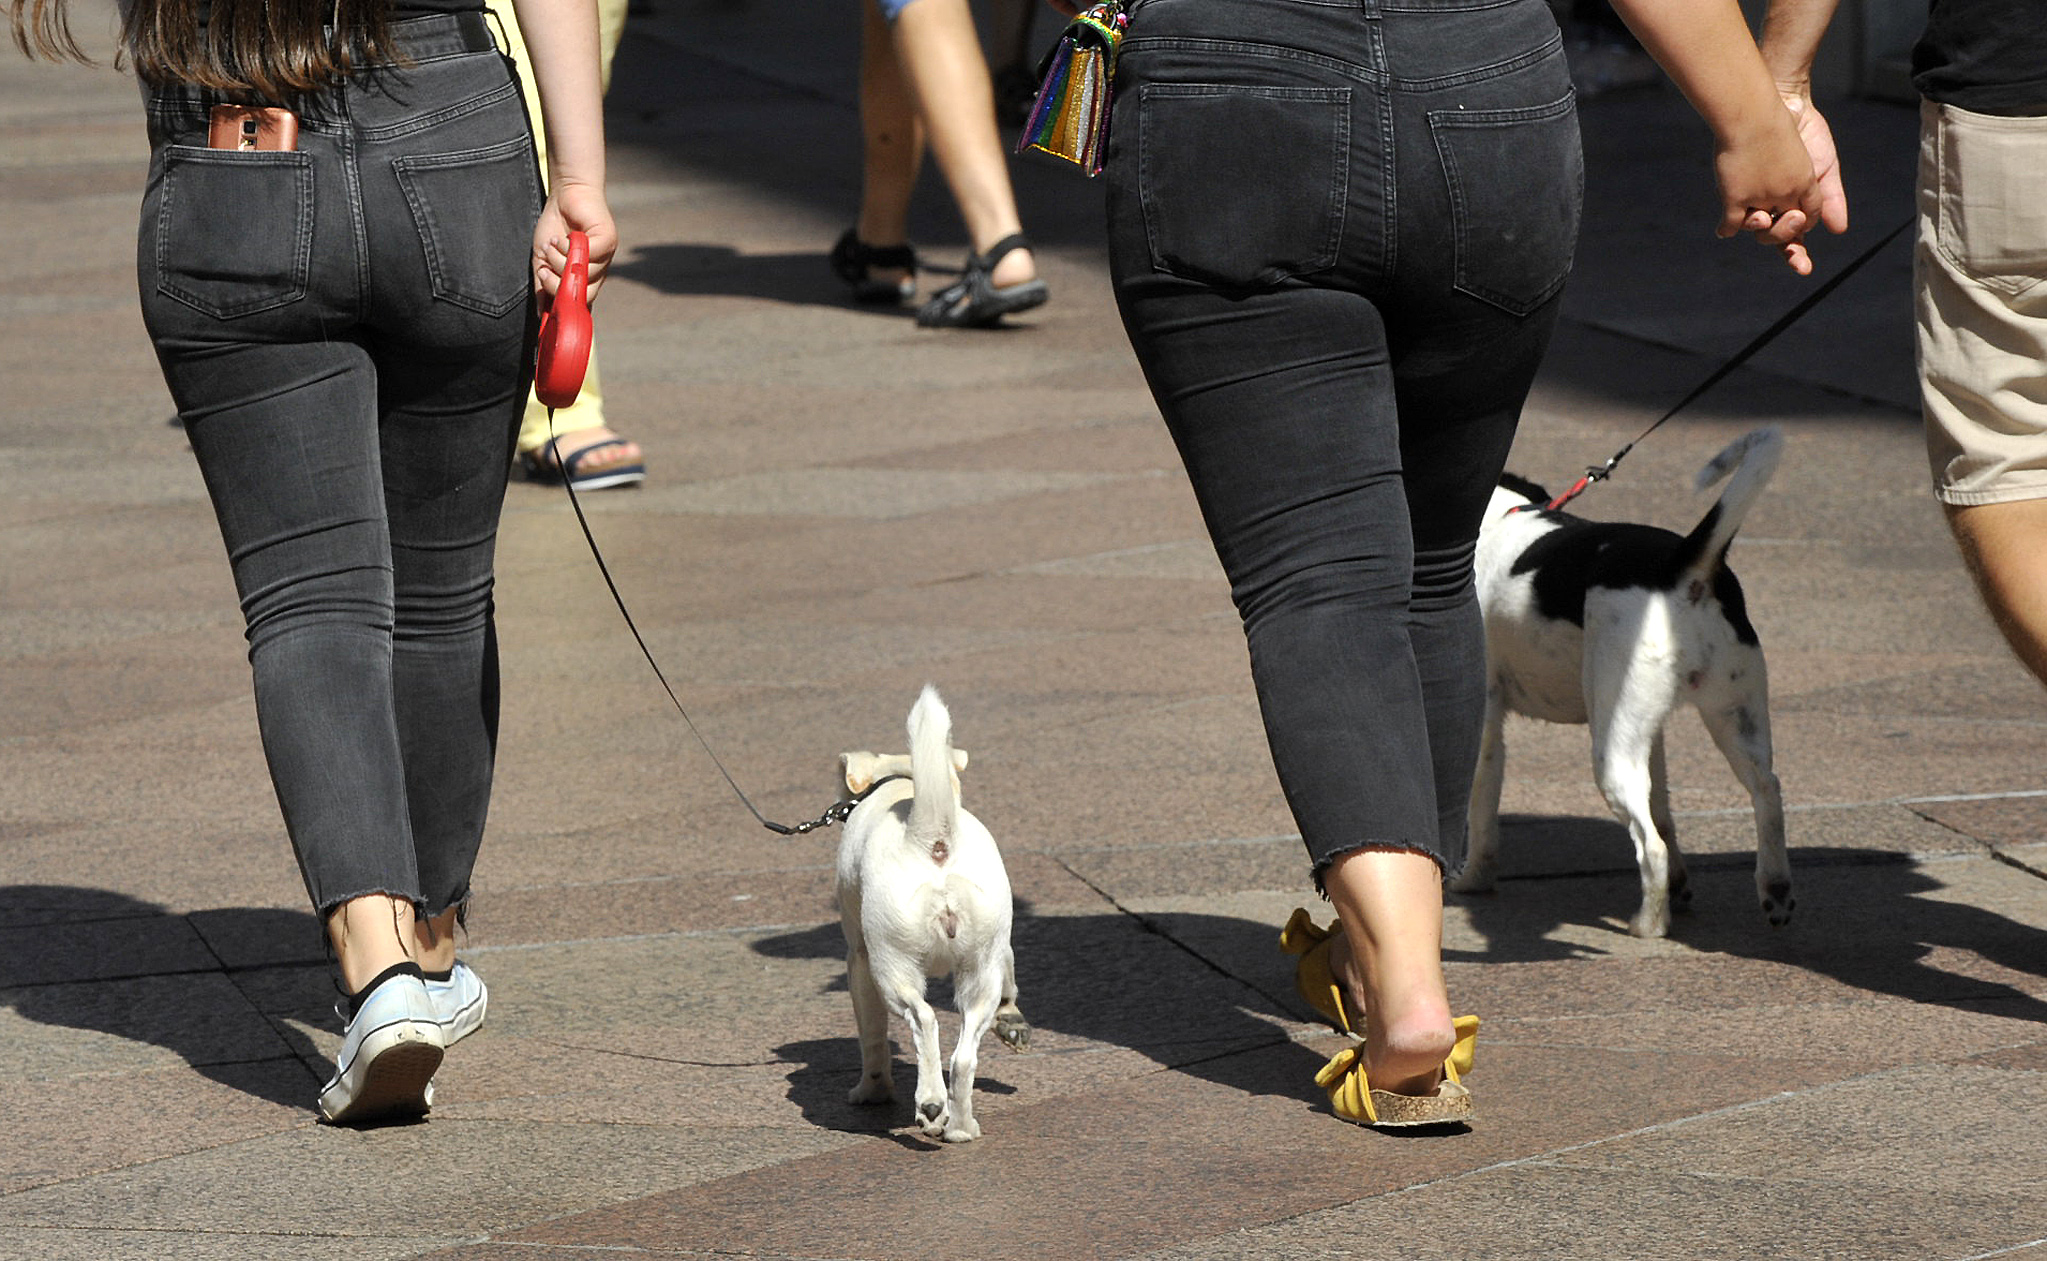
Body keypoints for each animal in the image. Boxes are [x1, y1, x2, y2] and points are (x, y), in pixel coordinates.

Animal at [831, 683, 1023, 1146]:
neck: (901, 784)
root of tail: (932, 839)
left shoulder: (858, 961)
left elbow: (872, 1036)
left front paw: (872, 1092)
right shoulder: (1002, 947)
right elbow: (1011, 974)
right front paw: (1012, 1018)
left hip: (891, 967)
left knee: (925, 1020)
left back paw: (932, 1104)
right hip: (979, 970)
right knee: (964, 1055)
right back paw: (961, 1127)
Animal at [1457, 425, 1793, 937]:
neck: (1496, 519)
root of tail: (1683, 567)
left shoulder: (1486, 727)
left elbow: (1481, 815)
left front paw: (1471, 880)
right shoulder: (1653, 736)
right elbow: (1665, 812)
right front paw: (1681, 886)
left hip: (1611, 752)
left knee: (1650, 846)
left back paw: (1648, 925)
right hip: (1731, 717)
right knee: (1765, 792)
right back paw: (1774, 889)